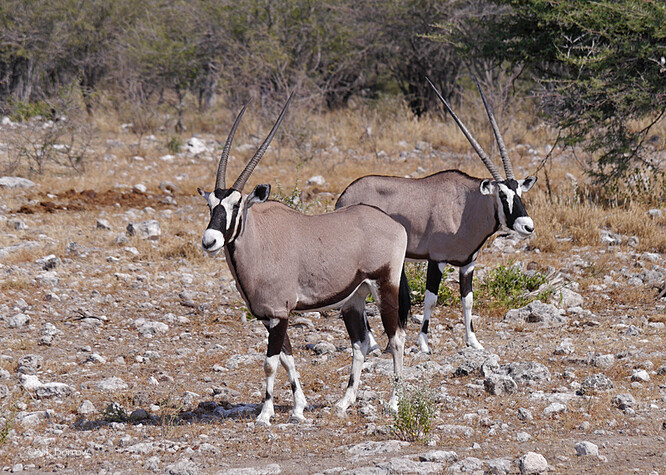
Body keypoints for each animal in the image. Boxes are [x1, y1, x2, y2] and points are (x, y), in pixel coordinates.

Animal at [197, 94, 408, 428]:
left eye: (237, 205)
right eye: (210, 205)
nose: (210, 241)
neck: (260, 239)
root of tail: (395, 224)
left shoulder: (279, 313)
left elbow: (270, 363)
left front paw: (265, 414)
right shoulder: (269, 316)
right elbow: (287, 358)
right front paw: (298, 408)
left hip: (385, 286)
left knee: (396, 338)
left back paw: (394, 403)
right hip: (354, 299)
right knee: (360, 343)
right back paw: (344, 403)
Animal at [338, 78, 536, 354]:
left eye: (520, 192)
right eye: (502, 195)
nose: (528, 226)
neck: (468, 207)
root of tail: (343, 196)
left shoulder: (468, 264)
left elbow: (468, 300)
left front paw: (473, 341)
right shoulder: (437, 260)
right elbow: (430, 300)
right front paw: (423, 343)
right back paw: (375, 343)